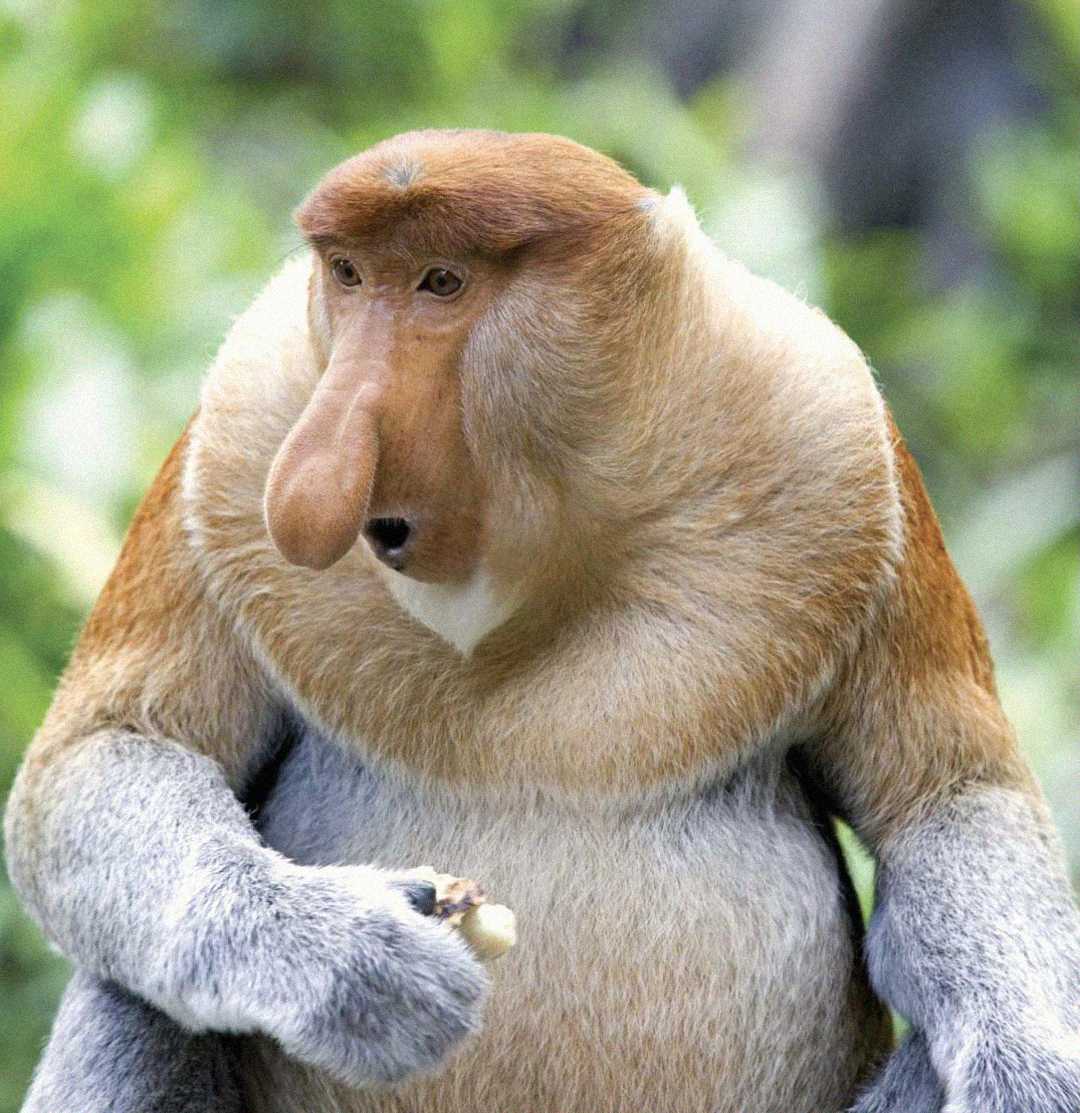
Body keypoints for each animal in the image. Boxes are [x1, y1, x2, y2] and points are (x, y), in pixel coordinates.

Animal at [5, 129, 1079, 1113]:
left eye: (442, 281)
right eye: (349, 275)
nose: (310, 479)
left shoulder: (836, 435)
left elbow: (950, 799)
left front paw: (1028, 1075)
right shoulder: (239, 427)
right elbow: (107, 752)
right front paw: (356, 958)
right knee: (133, 987)